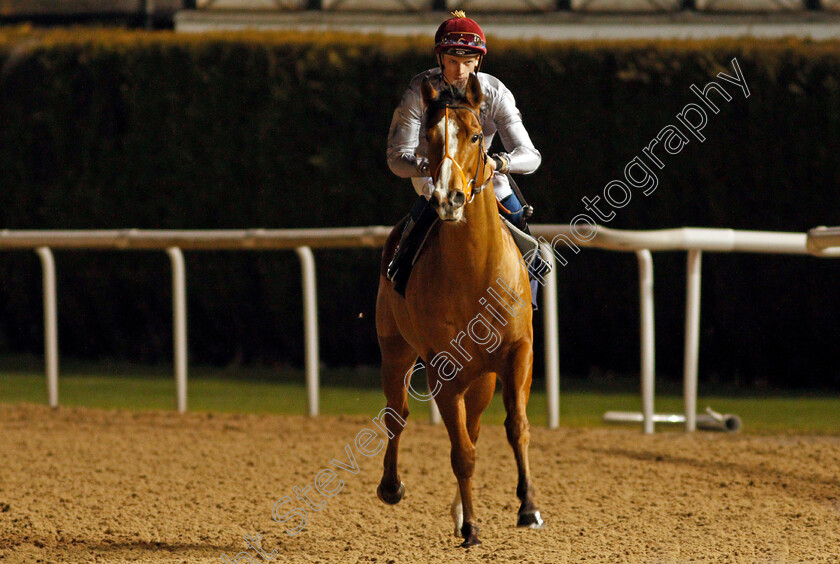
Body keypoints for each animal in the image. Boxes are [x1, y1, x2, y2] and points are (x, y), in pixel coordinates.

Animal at [376, 75, 544, 548]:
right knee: (397, 413)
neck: (475, 270)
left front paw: (528, 507)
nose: (448, 198)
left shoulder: (518, 353)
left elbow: (516, 426)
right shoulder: (442, 368)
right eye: (431, 139)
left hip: (482, 377)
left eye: (475, 136)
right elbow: (461, 453)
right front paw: (470, 526)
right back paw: (391, 486)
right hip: (395, 348)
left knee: (475, 424)